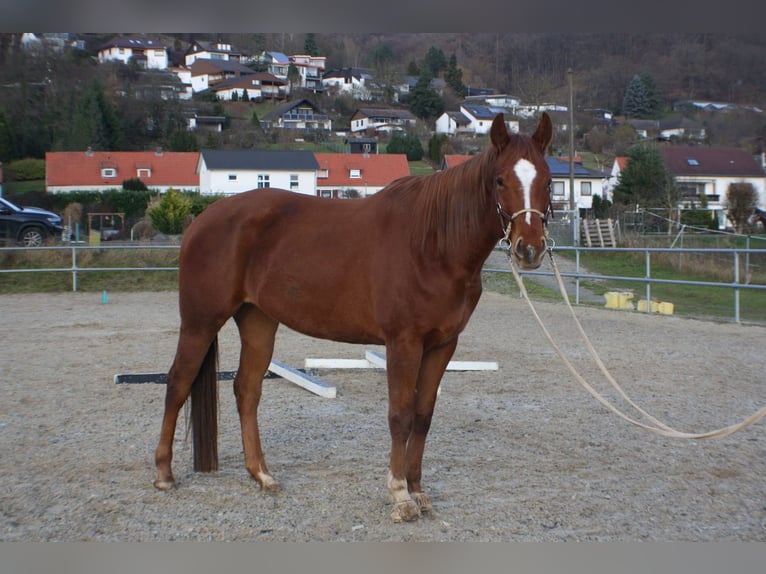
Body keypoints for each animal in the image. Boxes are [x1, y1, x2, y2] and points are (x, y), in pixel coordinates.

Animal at [153, 112, 554, 522]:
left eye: (548, 180)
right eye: (500, 180)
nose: (530, 249)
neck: (432, 244)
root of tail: (201, 220)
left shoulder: (443, 345)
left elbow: (423, 416)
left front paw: (418, 490)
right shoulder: (403, 343)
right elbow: (400, 415)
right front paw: (400, 495)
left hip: (258, 322)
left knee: (246, 390)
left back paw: (262, 475)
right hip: (200, 322)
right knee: (178, 383)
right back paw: (165, 475)